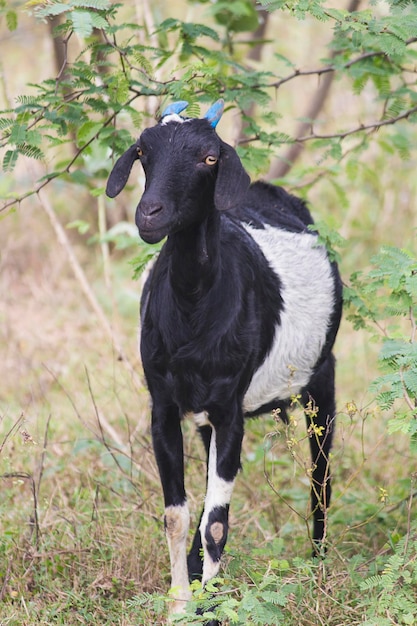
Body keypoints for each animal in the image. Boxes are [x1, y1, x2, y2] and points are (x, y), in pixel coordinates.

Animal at [105, 100, 342, 616]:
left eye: (209, 158)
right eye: (143, 152)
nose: (150, 214)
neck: (195, 307)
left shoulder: (231, 408)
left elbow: (217, 523)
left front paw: (211, 609)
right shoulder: (164, 407)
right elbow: (178, 516)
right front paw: (181, 605)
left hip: (321, 378)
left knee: (321, 477)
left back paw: (318, 564)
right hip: (204, 418)